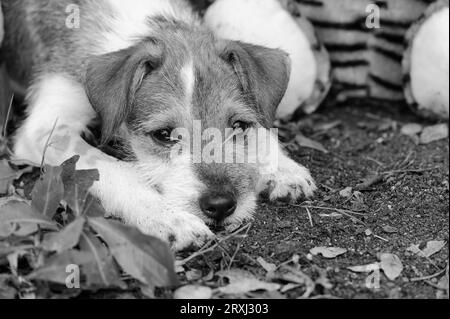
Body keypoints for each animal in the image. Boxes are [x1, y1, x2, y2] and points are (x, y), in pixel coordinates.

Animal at [0, 0, 316, 250]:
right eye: (164, 135)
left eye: (239, 126)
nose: (221, 206)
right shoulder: (47, 129)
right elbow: (116, 169)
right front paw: (168, 218)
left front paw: (281, 167)